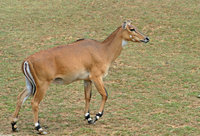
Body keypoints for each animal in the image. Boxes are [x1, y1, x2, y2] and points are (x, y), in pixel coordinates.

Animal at [10, 20, 148, 134]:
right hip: (42, 84)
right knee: (34, 102)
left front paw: (88, 118)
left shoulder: (87, 79)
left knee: (20, 98)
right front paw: (96, 116)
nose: (146, 38)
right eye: (132, 29)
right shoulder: (96, 77)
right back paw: (39, 128)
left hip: (30, 85)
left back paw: (14, 125)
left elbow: (87, 96)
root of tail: (27, 61)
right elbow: (105, 94)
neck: (103, 50)